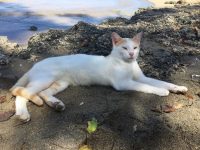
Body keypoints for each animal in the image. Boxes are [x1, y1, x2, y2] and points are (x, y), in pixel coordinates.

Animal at [10, 32, 187, 121]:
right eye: (125, 48)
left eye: (135, 48)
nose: (131, 54)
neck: (127, 64)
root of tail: (35, 65)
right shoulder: (123, 83)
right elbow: (147, 86)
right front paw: (161, 92)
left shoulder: (141, 77)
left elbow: (160, 82)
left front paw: (177, 88)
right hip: (44, 79)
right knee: (21, 93)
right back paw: (23, 114)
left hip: (60, 83)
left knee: (42, 93)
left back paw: (56, 104)